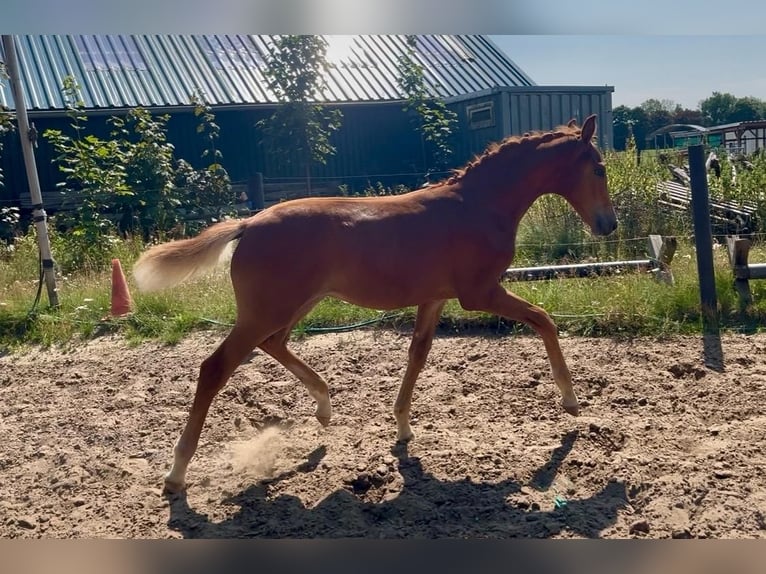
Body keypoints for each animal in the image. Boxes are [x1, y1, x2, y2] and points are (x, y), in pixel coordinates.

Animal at [133, 114, 617, 493]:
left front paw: (402, 428)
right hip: (266, 311)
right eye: (599, 169)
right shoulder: (479, 293)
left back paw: (324, 406)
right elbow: (544, 320)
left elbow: (418, 354)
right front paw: (571, 401)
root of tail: (249, 223)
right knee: (215, 367)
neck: (477, 205)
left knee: (275, 344)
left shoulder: (435, 298)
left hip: (294, 306)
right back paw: (176, 473)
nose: (608, 225)